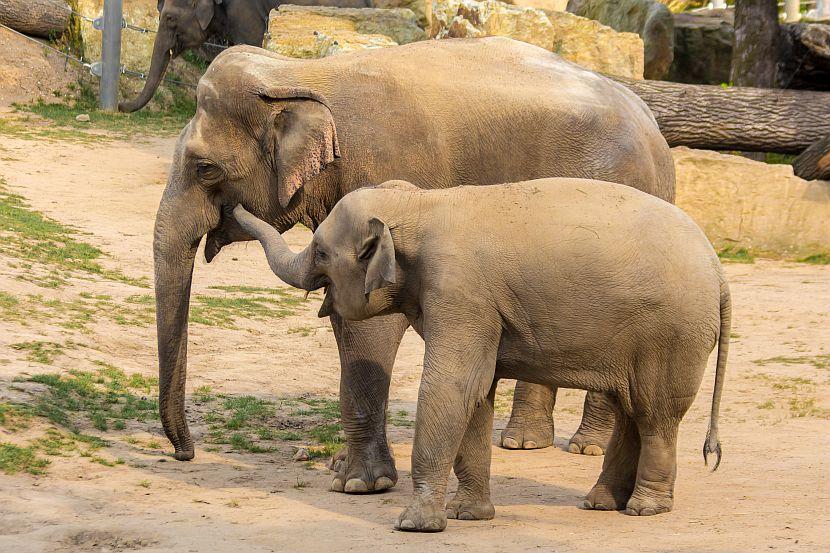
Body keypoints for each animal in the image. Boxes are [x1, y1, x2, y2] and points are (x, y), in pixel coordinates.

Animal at [154, 36, 676, 492]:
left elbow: (369, 323)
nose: (184, 454)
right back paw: (523, 442)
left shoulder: (383, 172)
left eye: (204, 168)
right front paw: (342, 468)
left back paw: (586, 447)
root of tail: (656, 131)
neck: (296, 72)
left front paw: (360, 484)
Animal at [231, 177, 732, 532]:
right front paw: (467, 515)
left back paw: (645, 509)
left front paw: (415, 524)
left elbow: (452, 385)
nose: (228, 199)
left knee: (655, 414)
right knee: (633, 410)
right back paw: (600, 503)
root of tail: (719, 270)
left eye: (319, 252)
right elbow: (477, 392)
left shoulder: (460, 292)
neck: (419, 205)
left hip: (673, 335)